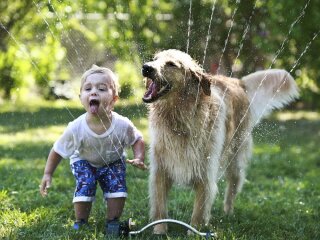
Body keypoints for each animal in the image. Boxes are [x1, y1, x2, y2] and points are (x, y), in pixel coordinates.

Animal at [141, 49, 298, 234]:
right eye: (155, 59)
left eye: (171, 64)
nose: (146, 67)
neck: (179, 118)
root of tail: (237, 81)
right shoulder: (160, 170)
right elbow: (160, 206)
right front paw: (159, 230)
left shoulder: (205, 173)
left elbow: (199, 211)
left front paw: (194, 232)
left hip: (235, 158)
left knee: (233, 187)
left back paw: (228, 213)